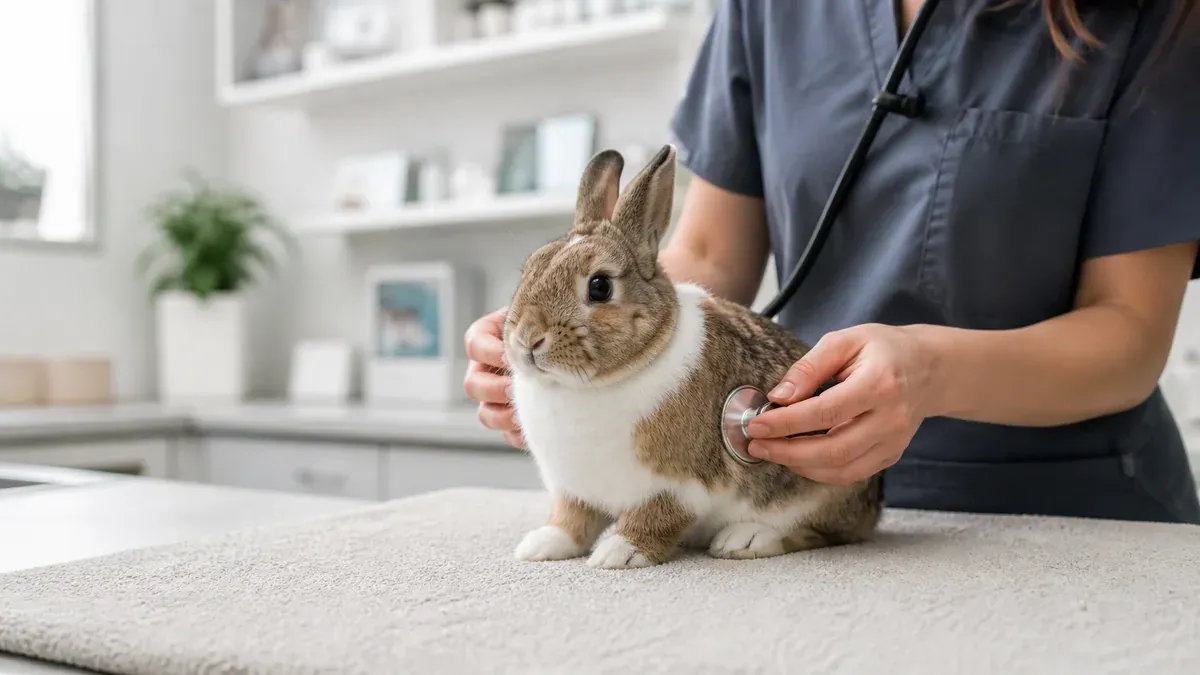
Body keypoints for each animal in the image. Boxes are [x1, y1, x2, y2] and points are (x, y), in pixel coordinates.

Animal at [503, 144, 883, 569]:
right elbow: (573, 519)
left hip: (819, 482)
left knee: (820, 532)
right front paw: (542, 545)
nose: (527, 338)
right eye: (530, 268)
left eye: (599, 287)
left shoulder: (678, 486)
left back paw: (745, 539)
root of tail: (873, 504)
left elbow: (656, 517)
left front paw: (620, 552)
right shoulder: (574, 489)